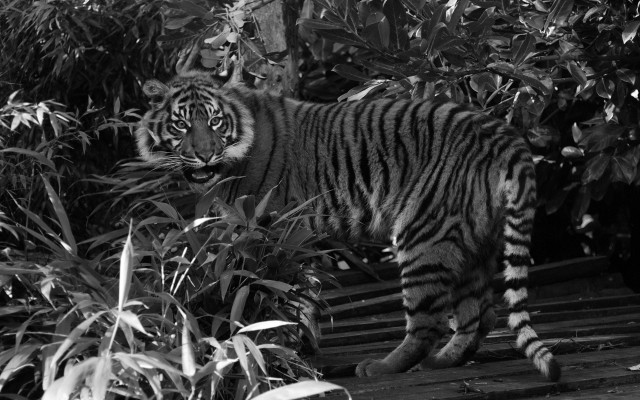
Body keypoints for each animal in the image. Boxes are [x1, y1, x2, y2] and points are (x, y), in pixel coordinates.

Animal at [135, 70, 561, 381]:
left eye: (214, 121)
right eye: (181, 125)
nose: (205, 154)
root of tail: (506, 135)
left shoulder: (268, 229)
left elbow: (261, 288)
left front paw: (260, 337)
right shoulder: (297, 236)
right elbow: (300, 291)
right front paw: (299, 340)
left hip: (423, 235)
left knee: (428, 321)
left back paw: (382, 367)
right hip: (475, 242)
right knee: (479, 316)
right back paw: (442, 362)